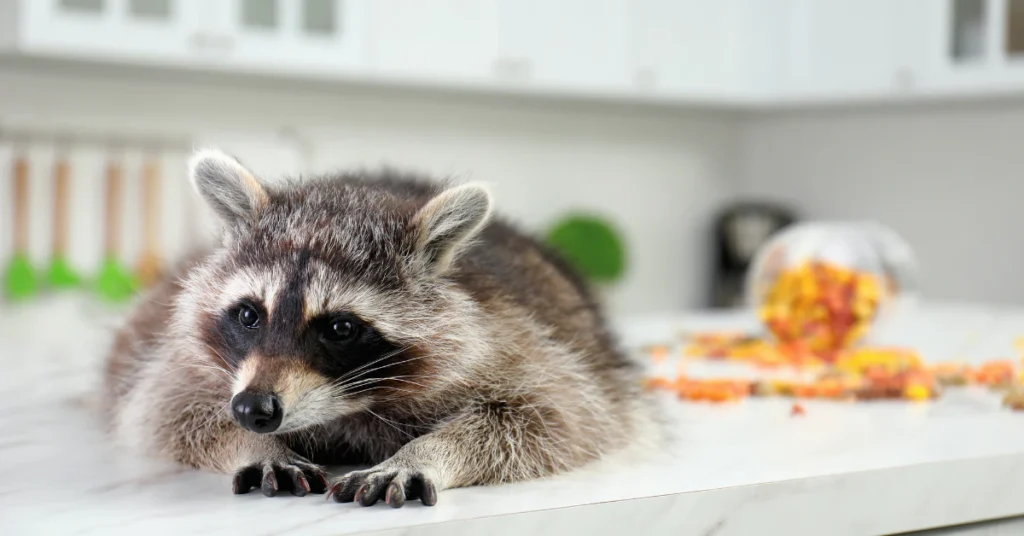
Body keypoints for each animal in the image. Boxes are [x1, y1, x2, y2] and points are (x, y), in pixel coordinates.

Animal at [102, 149, 658, 508]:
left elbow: (552, 417)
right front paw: (249, 445)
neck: (347, 407)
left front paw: (427, 452)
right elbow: (168, 408)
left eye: (340, 327)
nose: (253, 410)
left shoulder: (514, 338)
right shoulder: (186, 362)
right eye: (248, 315)